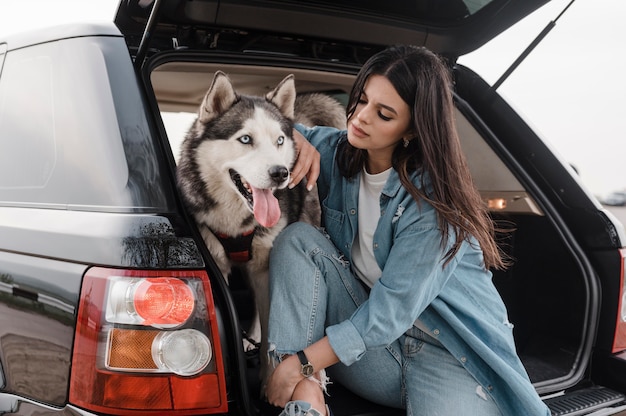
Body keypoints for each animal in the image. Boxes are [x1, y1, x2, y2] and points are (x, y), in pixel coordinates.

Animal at [174, 71, 342, 386]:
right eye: (245, 139)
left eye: (279, 140)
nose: (280, 173)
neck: (237, 220)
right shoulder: (220, 264)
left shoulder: (264, 268)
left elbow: (269, 327)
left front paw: (267, 378)